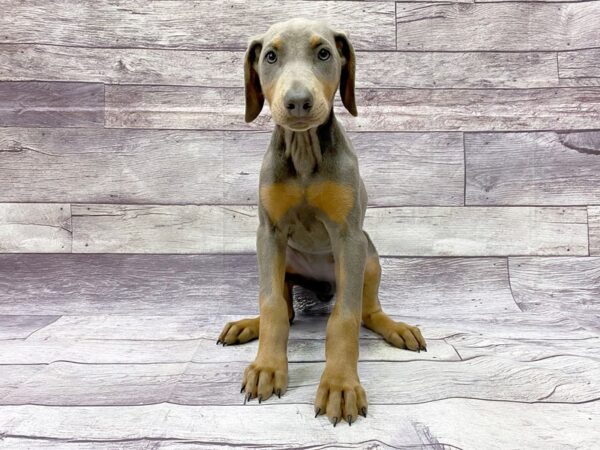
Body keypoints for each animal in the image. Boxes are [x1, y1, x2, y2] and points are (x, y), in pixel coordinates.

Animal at [217, 17, 426, 426]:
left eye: (324, 53)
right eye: (270, 56)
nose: (298, 102)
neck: (303, 152)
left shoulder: (348, 236)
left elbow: (344, 319)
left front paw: (340, 386)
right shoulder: (269, 233)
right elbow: (271, 305)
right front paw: (267, 367)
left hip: (368, 258)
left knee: (365, 311)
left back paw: (396, 327)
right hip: (283, 262)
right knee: (287, 309)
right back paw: (249, 324)